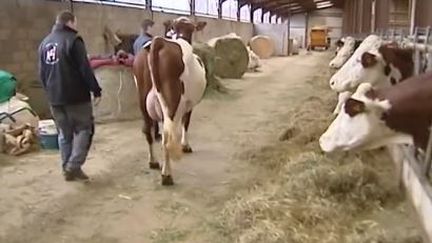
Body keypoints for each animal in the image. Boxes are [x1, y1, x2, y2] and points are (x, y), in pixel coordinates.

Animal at [133, 17, 208, 185]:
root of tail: (159, 42)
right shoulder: (189, 104)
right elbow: (186, 123)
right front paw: (186, 146)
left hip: (142, 99)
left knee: (147, 130)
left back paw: (153, 162)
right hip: (172, 101)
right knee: (167, 137)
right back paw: (166, 175)